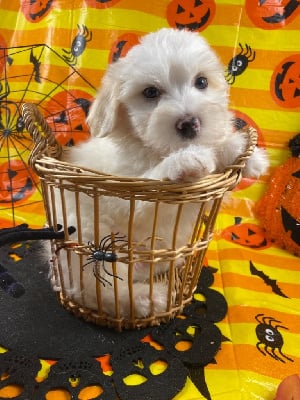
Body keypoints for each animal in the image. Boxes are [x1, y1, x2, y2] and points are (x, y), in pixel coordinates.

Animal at [54, 28, 270, 318]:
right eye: (150, 92)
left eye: (202, 82)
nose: (190, 123)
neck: (155, 149)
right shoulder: (128, 195)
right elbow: (152, 179)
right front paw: (185, 160)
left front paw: (245, 153)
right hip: (88, 235)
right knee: (97, 287)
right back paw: (146, 299)